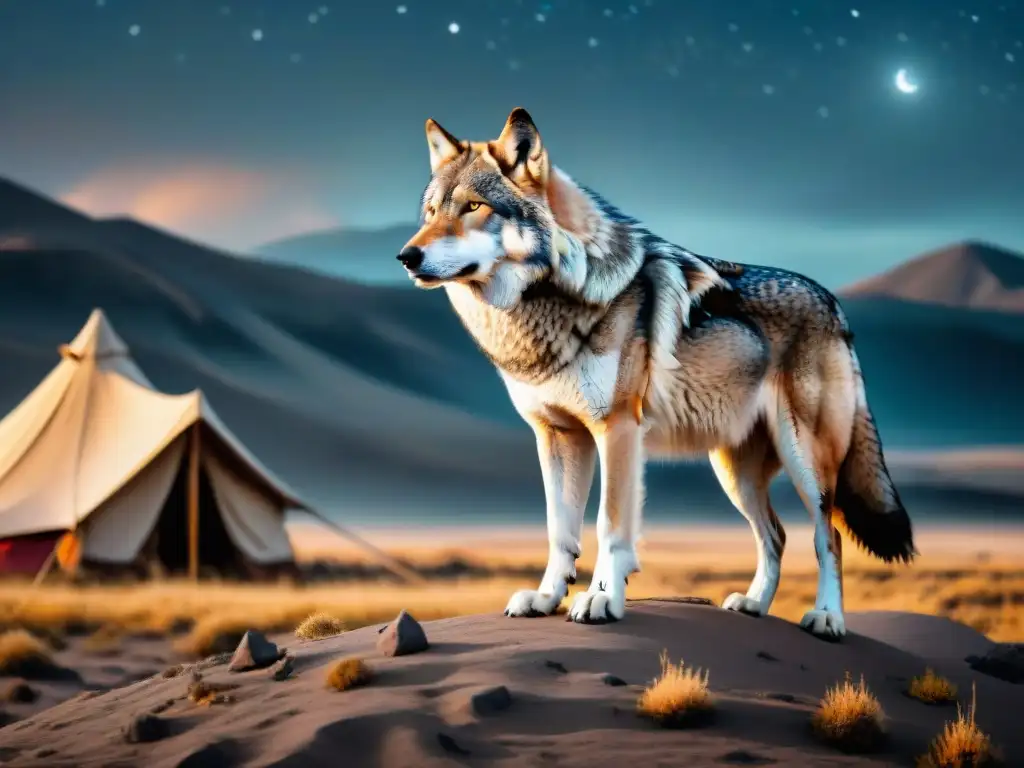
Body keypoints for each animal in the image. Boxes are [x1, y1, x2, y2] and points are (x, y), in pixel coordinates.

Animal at [397, 107, 915, 639]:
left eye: (473, 206)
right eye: (431, 212)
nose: (407, 256)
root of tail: (834, 303)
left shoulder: (617, 428)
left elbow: (609, 526)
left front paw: (602, 599)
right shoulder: (557, 435)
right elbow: (559, 529)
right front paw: (546, 598)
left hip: (805, 460)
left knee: (828, 535)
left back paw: (827, 617)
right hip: (734, 473)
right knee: (776, 535)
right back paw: (753, 605)